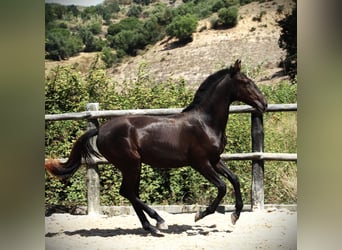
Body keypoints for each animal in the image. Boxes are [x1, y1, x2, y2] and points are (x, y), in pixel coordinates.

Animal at [45, 60, 268, 234]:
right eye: (246, 82)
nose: (264, 104)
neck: (206, 122)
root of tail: (101, 130)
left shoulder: (215, 160)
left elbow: (235, 179)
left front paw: (235, 215)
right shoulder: (200, 162)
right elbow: (222, 186)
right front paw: (199, 215)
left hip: (133, 166)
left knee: (130, 192)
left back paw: (151, 227)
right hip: (131, 163)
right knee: (128, 192)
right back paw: (159, 221)